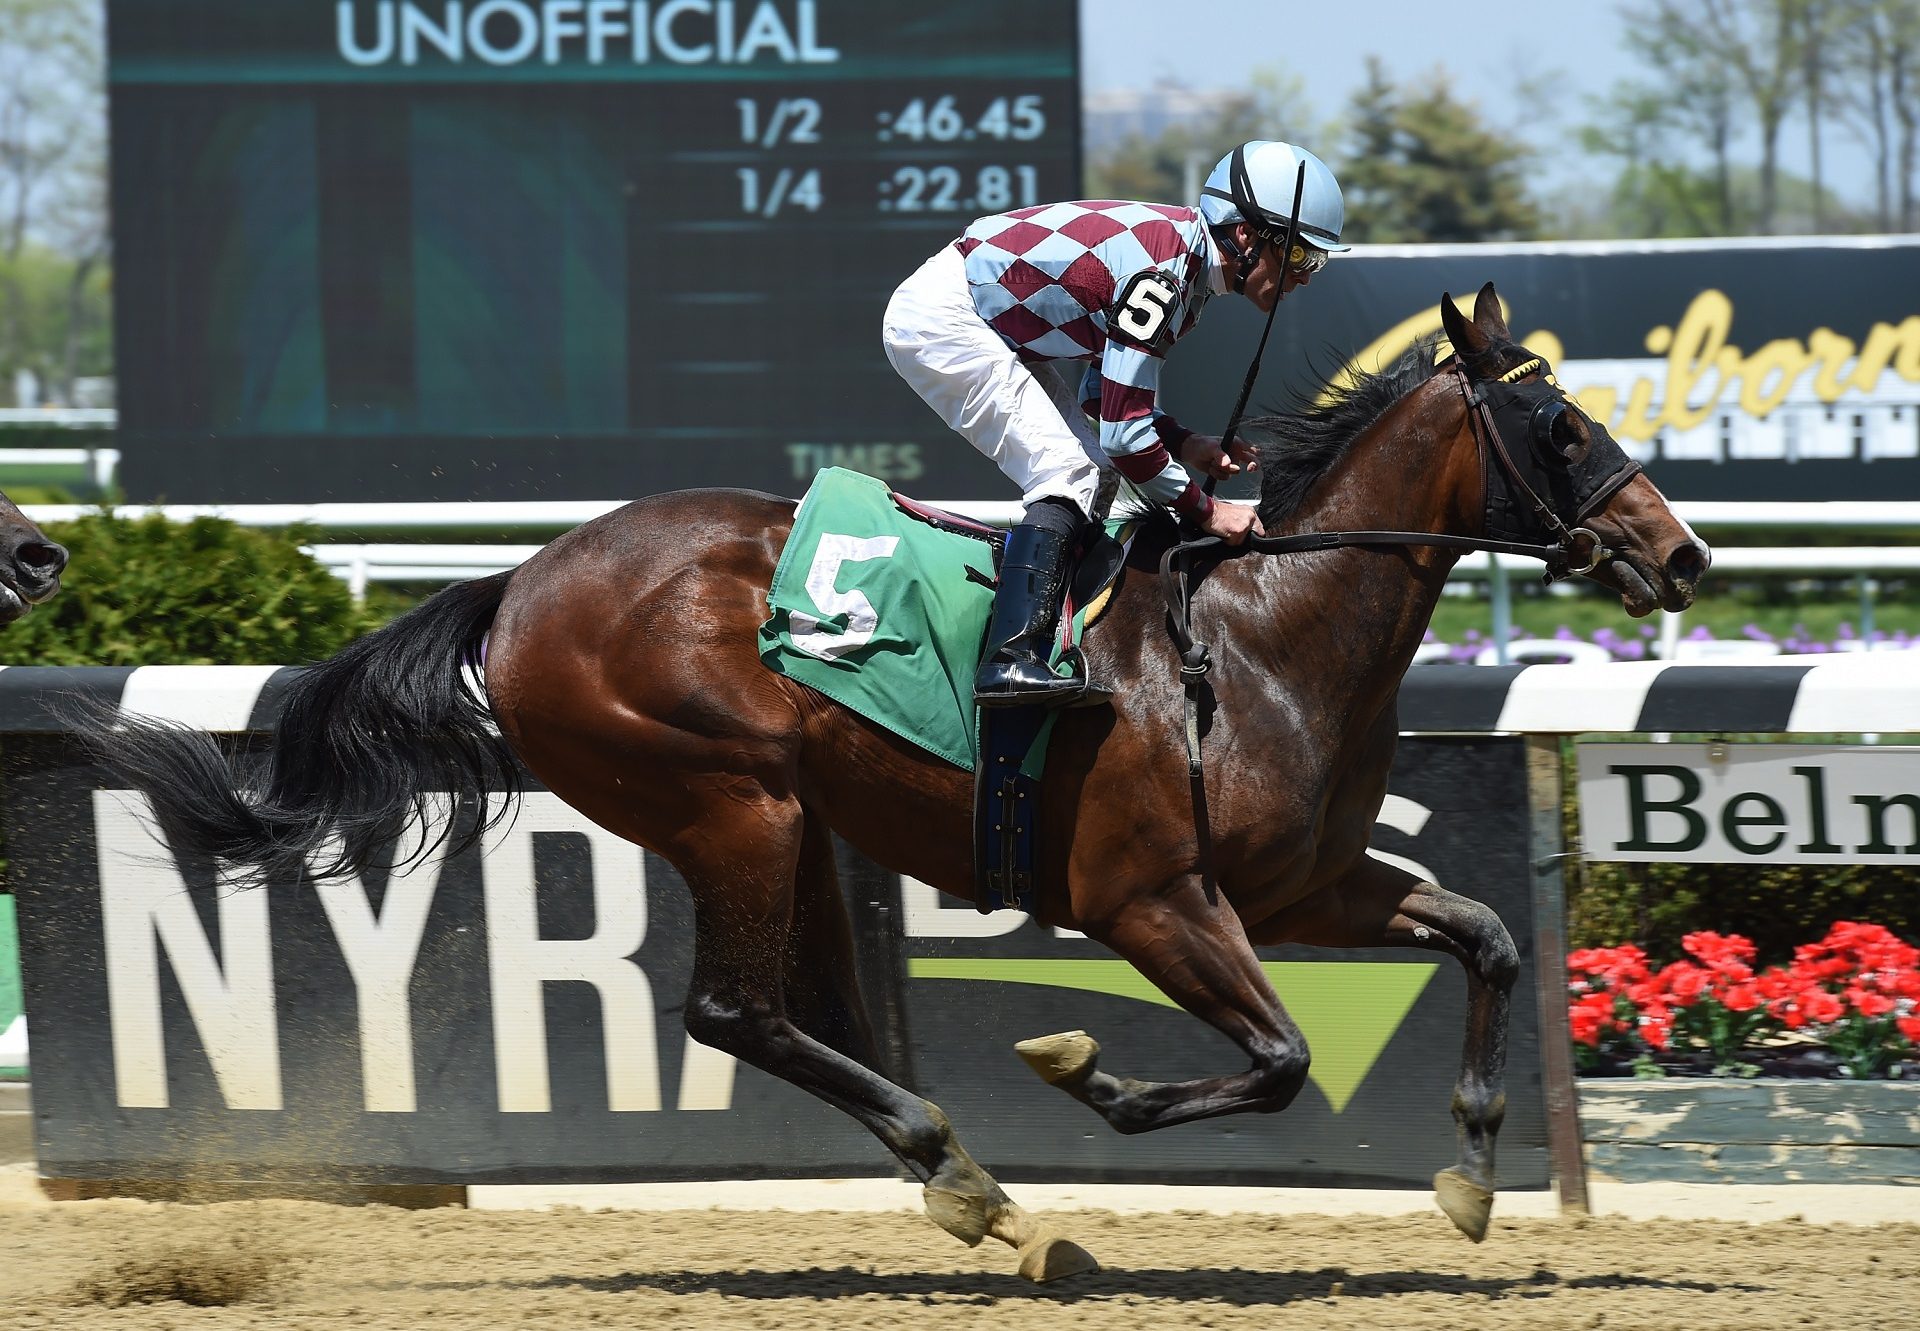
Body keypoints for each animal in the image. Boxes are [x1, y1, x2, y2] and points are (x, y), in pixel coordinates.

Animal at [93, 286, 1712, 1282]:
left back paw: (958, 1173)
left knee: (810, 1009)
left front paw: (1473, 1171)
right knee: (736, 1010)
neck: (1258, 635)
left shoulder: (1303, 882)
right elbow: (1278, 1059)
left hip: (792, 819)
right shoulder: (1151, 897)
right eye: (1565, 424)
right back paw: (968, 1175)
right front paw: (1085, 1071)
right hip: (725, 798)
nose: (1685, 553)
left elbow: (1487, 935)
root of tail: (524, 582)